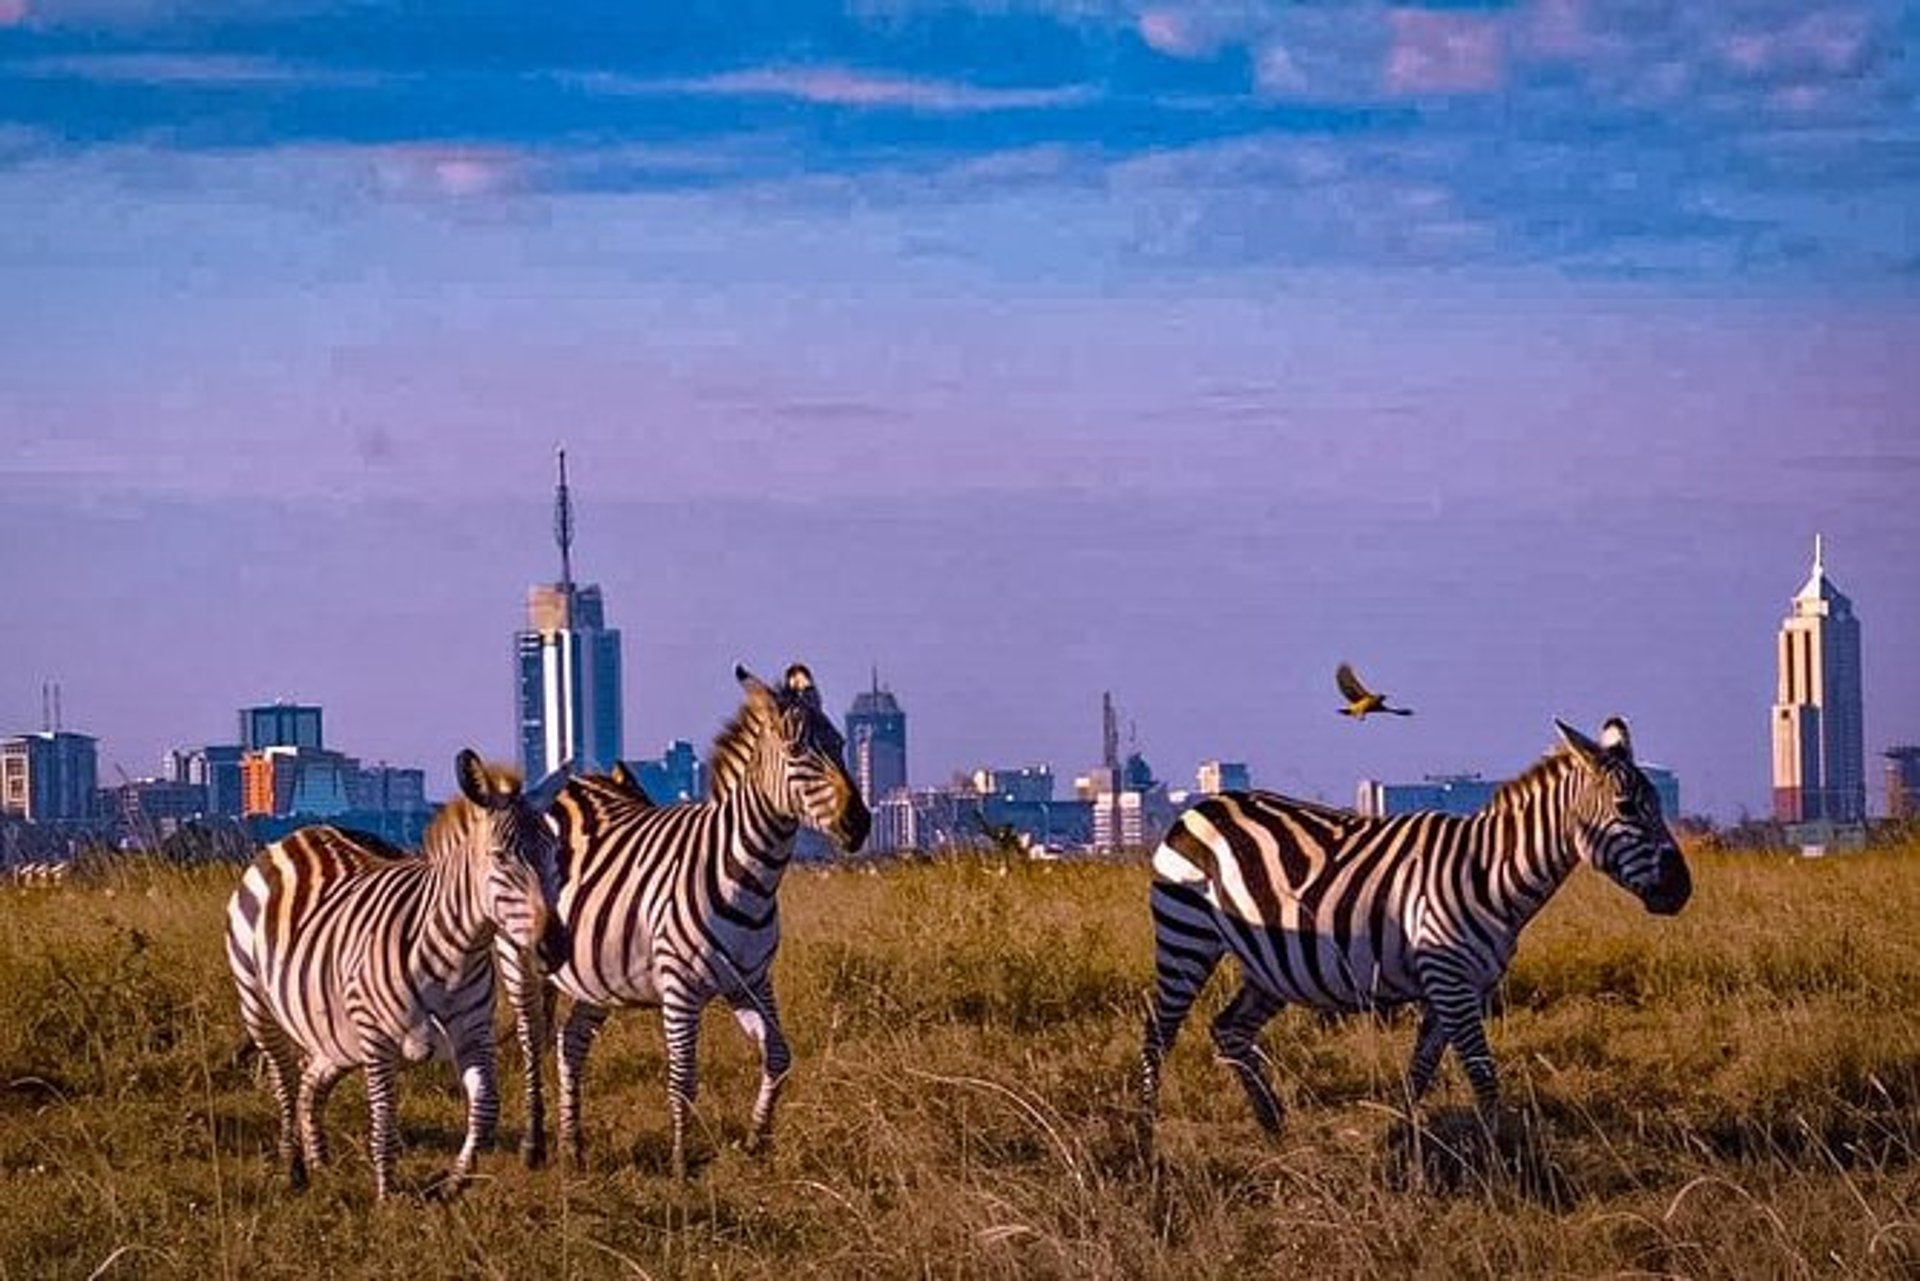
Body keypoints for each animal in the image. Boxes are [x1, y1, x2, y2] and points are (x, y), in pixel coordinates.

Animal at [225, 750, 567, 1198]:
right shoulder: (376, 1037)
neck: (454, 953)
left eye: (555, 853)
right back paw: (295, 1169)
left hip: (336, 1034)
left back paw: (320, 1164)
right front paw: (387, 1196)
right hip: (259, 1003)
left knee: (310, 1080)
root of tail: (299, 833)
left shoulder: (474, 1033)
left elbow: (486, 1106)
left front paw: (454, 1183)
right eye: (499, 857)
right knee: (284, 1078)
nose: (554, 947)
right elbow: (384, 1118)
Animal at [499, 662, 871, 1179]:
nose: (860, 824)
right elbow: (683, 1076)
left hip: (597, 972)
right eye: (797, 751)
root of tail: (567, 785)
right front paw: (680, 1165)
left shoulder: (751, 980)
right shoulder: (680, 986)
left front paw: (757, 1142)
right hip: (518, 957)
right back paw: (533, 1147)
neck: (749, 874)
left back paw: (573, 1148)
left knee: (569, 1043)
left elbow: (779, 1056)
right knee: (531, 1042)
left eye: (839, 744)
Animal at [1139, 716, 1691, 1137]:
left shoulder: (1458, 984)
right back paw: (1148, 1138)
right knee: (1158, 1033)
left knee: (1229, 1029)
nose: (1682, 889)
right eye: (1626, 808)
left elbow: (1423, 1069)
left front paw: (1405, 1135)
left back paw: (1272, 1123)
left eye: (1659, 804)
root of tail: (1200, 805)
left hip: (1271, 965)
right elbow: (1482, 1072)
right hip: (1186, 937)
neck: (1489, 871)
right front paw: (1502, 1158)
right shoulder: (1448, 977)